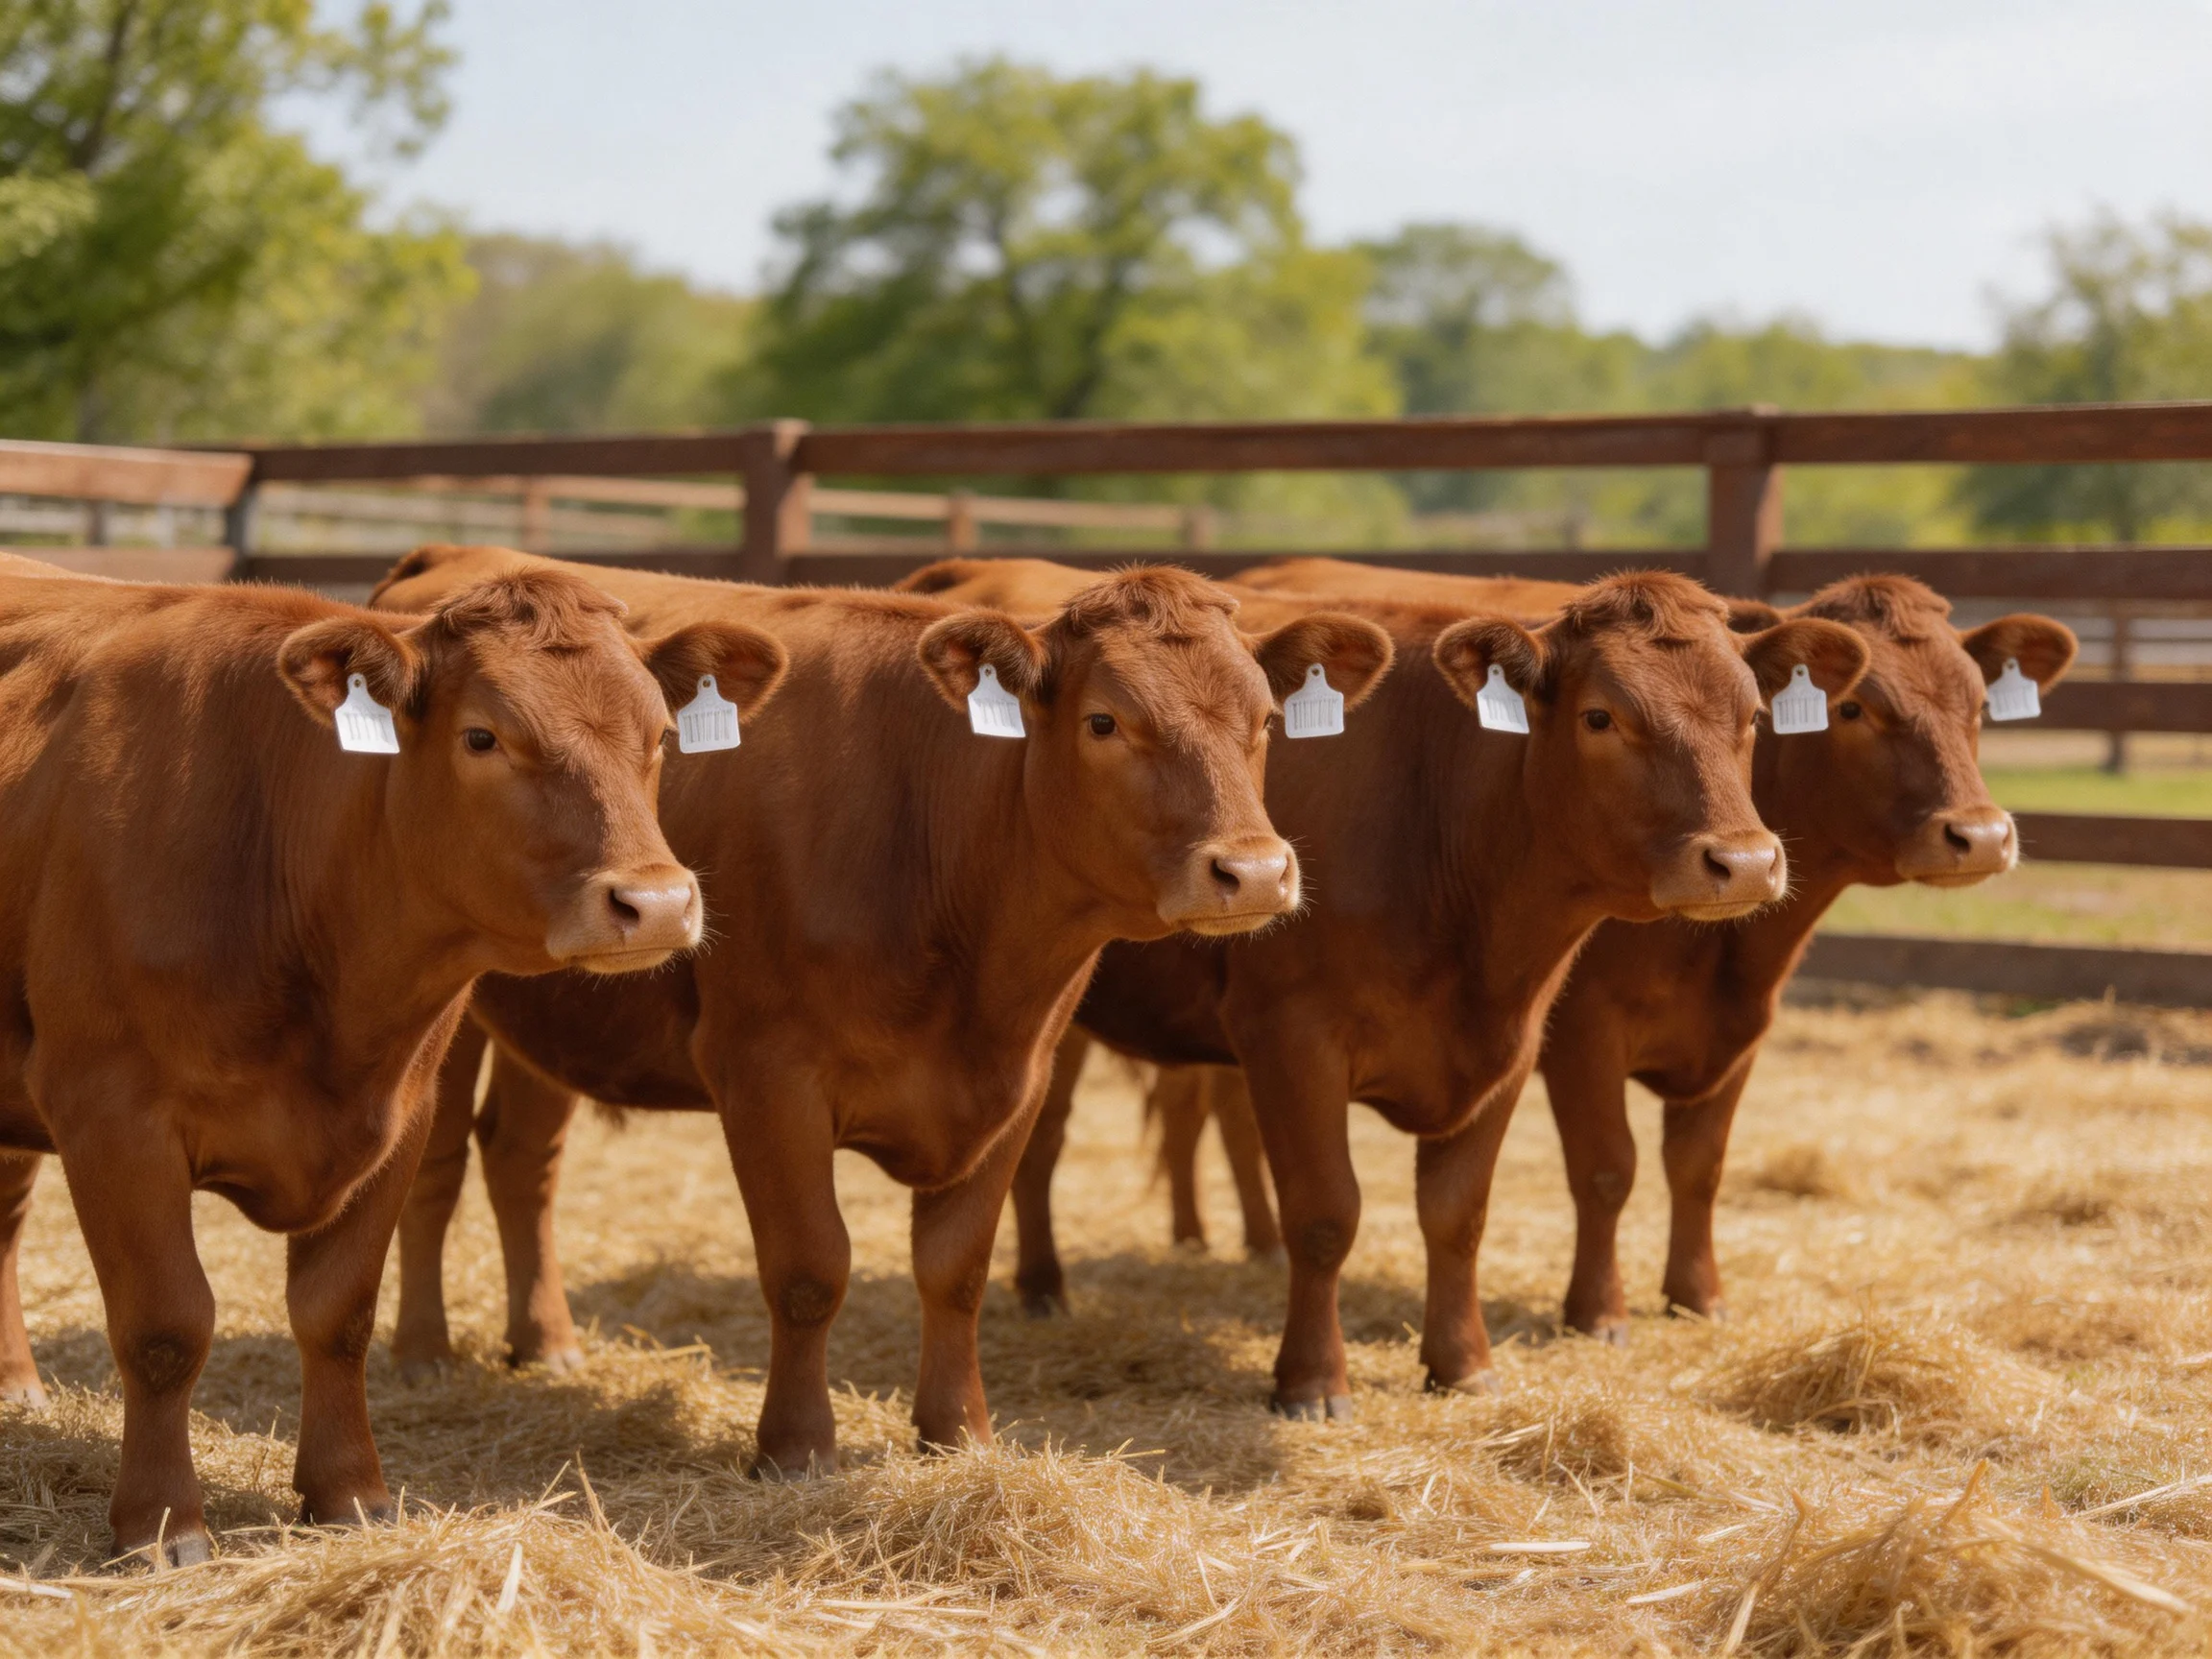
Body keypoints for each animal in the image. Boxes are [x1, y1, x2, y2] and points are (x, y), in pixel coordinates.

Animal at [0, 551, 783, 1565]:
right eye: (483, 736)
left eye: (659, 736)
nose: (654, 903)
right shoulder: (111, 1116)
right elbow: (166, 1325)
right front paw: (162, 1524)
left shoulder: (399, 1113)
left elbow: (339, 1313)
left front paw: (349, 1496)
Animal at [371, 545, 1394, 1475]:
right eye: (1106, 720)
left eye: (1264, 719)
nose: (1252, 871)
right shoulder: (765, 1073)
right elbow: (809, 1267)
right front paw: (796, 1448)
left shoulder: (1018, 1079)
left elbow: (956, 1266)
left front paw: (957, 1433)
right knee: (435, 1167)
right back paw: (424, 1354)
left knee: (521, 1158)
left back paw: (545, 1341)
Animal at [898, 557, 1869, 1416]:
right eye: (1602, 716)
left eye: (1751, 715)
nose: (1743, 861)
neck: (1440, 820)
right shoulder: (1292, 1035)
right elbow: (1326, 1214)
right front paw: (1311, 1382)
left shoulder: (1513, 1040)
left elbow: (1458, 1213)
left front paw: (1462, 1364)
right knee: (1041, 1145)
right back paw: (1043, 1287)